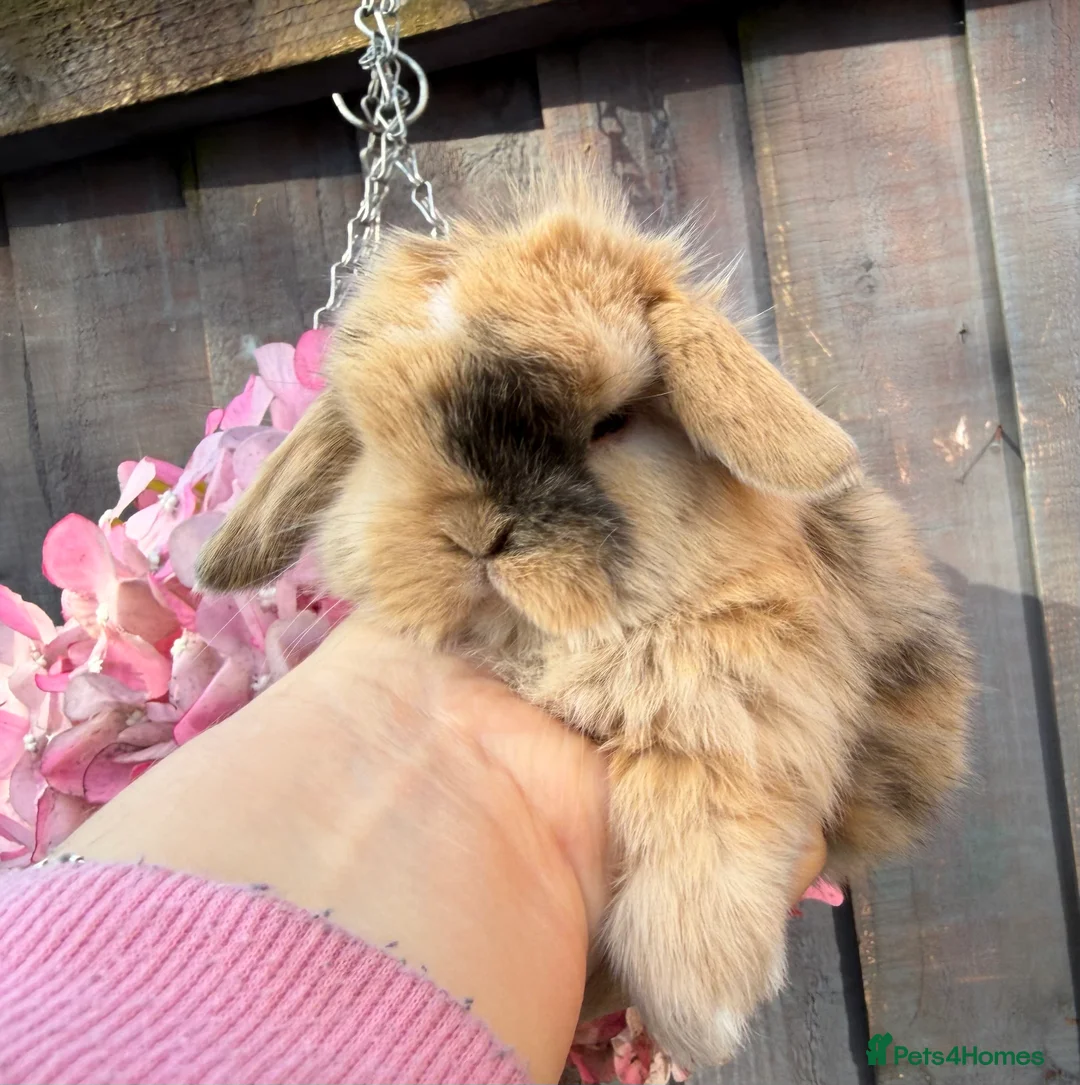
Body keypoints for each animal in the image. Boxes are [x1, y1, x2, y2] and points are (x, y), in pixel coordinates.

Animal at [196, 174, 972, 1068]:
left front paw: (700, 999)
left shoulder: (752, 708)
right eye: (383, 434)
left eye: (610, 424)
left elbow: (701, 803)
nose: (475, 533)